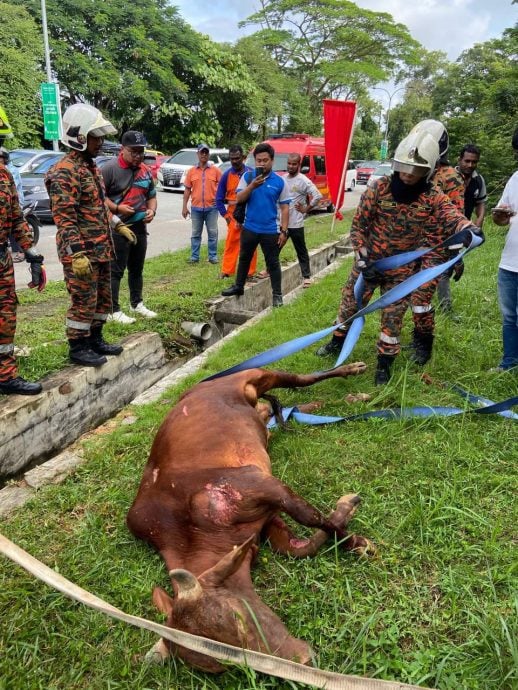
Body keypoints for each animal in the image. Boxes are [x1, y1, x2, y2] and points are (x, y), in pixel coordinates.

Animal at [127, 362, 372, 668]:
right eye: (222, 665)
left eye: (237, 619)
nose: (303, 661)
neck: (186, 532)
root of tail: (199, 387)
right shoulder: (265, 521)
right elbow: (299, 547)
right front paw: (346, 512)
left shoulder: (260, 483)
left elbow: (310, 516)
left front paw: (357, 542)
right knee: (277, 410)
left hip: (253, 376)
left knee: (301, 380)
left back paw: (353, 377)